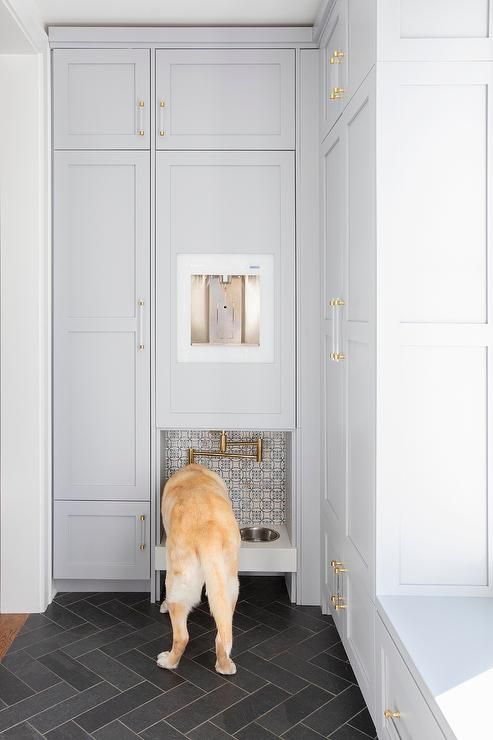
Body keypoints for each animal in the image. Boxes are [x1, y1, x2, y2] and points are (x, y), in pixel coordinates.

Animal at [158, 466, 240, 672]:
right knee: (222, 637)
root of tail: (208, 532)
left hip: (178, 584)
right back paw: (225, 667)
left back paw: (168, 662)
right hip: (229, 588)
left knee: (182, 637)